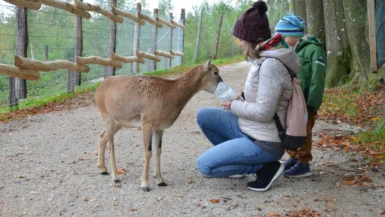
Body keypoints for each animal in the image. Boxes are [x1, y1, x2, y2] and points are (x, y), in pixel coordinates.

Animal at [94, 58, 222, 192]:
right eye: (215, 72)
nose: (222, 84)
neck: (170, 93)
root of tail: (100, 88)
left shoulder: (159, 129)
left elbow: (158, 151)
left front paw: (160, 180)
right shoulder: (146, 125)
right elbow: (148, 152)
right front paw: (145, 184)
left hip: (119, 123)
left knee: (102, 136)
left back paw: (103, 169)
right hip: (108, 118)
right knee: (111, 144)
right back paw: (115, 176)